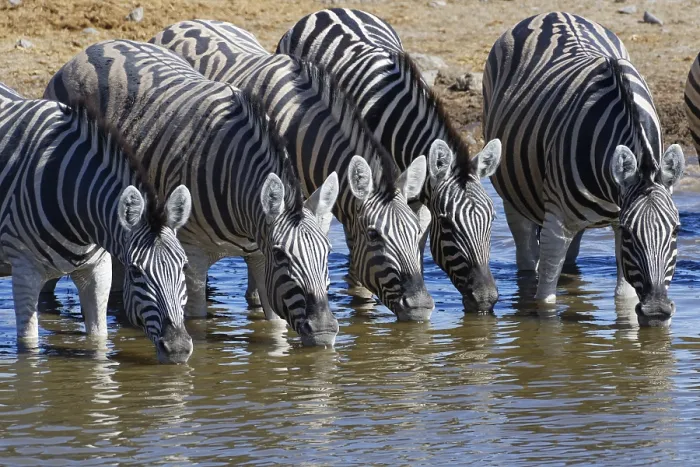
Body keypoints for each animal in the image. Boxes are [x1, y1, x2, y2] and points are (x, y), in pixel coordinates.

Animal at [0, 82, 194, 363]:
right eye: (135, 271)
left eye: (184, 267)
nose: (178, 349)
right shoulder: (25, 270)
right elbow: (28, 345)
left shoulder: (98, 270)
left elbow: (98, 338)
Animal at [44, 40, 341, 346]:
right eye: (282, 255)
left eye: (328, 252)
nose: (324, 332)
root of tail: (97, 46)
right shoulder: (193, 257)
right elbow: (198, 323)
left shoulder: (260, 255)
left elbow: (274, 322)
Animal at [277, 8, 502, 312]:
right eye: (447, 224)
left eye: (492, 218)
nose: (486, 299)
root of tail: (327, 10)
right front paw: (362, 298)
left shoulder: (416, 196)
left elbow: (414, 241)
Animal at [481, 12, 684, 325]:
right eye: (630, 233)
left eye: (675, 231)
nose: (657, 313)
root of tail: (552, 13)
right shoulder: (559, 225)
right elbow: (546, 301)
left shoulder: (615, 220)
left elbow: (623, 299)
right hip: (513, 192)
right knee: (526, 258)